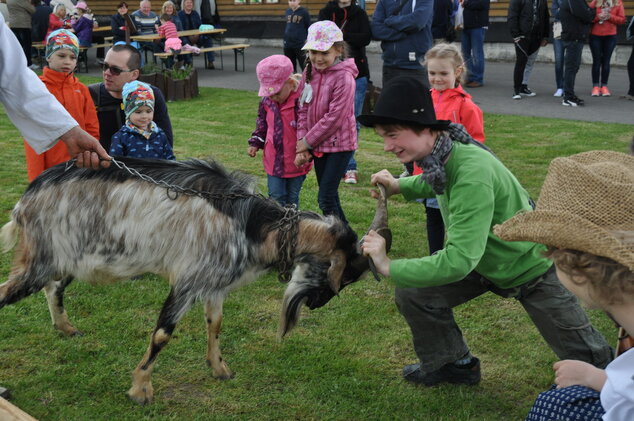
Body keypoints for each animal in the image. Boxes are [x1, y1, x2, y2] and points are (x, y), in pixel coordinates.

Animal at [0, 157, 388, 404]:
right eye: (347, 275)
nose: (318, 303)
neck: (256, 226)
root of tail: (26, 199)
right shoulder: (188, 279)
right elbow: (162, 333)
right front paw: (140, 389)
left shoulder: (213, 282)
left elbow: (215, 323)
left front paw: (219, 368)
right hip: (40, 260)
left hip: (67, 257)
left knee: (54, 287)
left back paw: (65, 328)